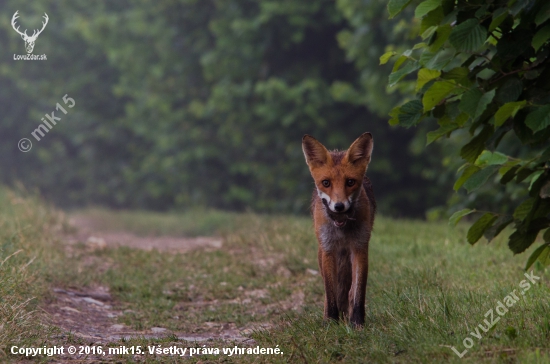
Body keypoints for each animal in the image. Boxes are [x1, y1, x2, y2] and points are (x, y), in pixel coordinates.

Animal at [304, 133, 378, 328]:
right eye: (326, 183)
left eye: (350, 182)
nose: (339, 206)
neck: (342, 227)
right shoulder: (328, 250)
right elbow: (331, 293)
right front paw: (331, 321)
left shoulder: (360, 247)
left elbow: (358, 291)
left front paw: (357, 323)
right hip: (322, 253)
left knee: (349, 290)